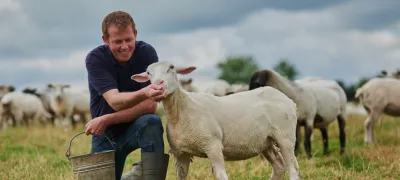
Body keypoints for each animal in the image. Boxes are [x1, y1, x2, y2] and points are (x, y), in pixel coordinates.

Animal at [131, 61, 300, 180]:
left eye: (171, 67)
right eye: (148, 73)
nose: (158, 85)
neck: (181, 110)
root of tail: (288, 99)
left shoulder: (213, 146)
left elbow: (221, 176)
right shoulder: (180, 153)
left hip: (285, 136)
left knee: (293, 169)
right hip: (265, 141)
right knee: (279, 166)